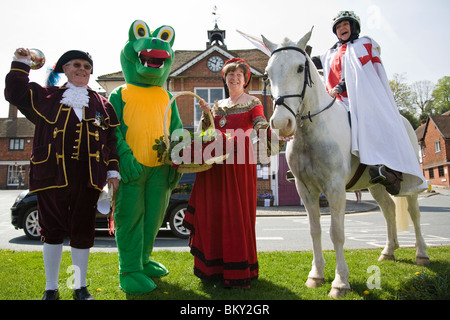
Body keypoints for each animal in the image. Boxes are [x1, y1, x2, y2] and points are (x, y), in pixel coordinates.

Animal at [262, 30, 430, 298]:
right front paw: (316, 275)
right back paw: (388, 251)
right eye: (268, 73)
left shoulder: (334, 188)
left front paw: (340, 282)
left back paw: (421, 253)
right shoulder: (305, 189)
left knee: (414, 213)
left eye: (300, 67)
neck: (312, 131)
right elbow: (315, 230)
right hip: (375, 185)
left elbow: (337, 233)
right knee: (388, 210)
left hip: (410, 181)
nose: (281, 123)